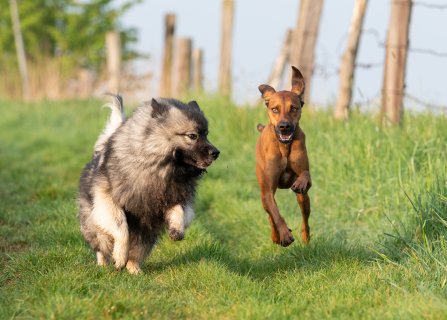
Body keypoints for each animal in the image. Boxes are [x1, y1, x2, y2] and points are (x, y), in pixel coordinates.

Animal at [80, 96, 222, 274]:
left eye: (206, 134)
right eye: (192, 136)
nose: (216, 153)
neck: (158, 168)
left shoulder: (174, 197)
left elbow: (179, 211)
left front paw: (176, 229)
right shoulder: (108, 200)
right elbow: (121, 228)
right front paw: (119, 257)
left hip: (147, 234)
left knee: (135, 255)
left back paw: (135, 271)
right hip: (97, 226)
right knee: (102, 247)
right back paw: (104, 265)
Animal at [254, 65, 314, 248]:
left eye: (293, 108)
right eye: (275, 109)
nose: (284, 126)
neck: (284, 147)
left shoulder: (306, 176)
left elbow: (306, 174)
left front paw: (300, 182)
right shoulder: (267, 190)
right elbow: (275, 214)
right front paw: (284, 235)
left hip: (304, 199)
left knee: (305, 216)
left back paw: (306, 237)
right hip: (264, 193)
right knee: (270, 214)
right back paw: (277, 236)